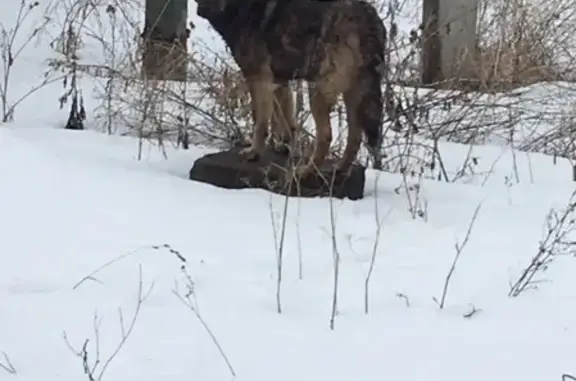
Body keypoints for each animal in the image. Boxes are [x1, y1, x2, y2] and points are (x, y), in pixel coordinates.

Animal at [194, 0, 388, 176]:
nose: (203, 10)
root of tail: (367, 19)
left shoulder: (259, 78)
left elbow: (260, 122)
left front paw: (254, 152)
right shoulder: (279, 82)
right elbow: (285, 120)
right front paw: (283, 146)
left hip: (317, 88)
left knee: (326, 135)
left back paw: (306, 171)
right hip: (354, 95)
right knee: (355, 136)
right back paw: (339, 168)